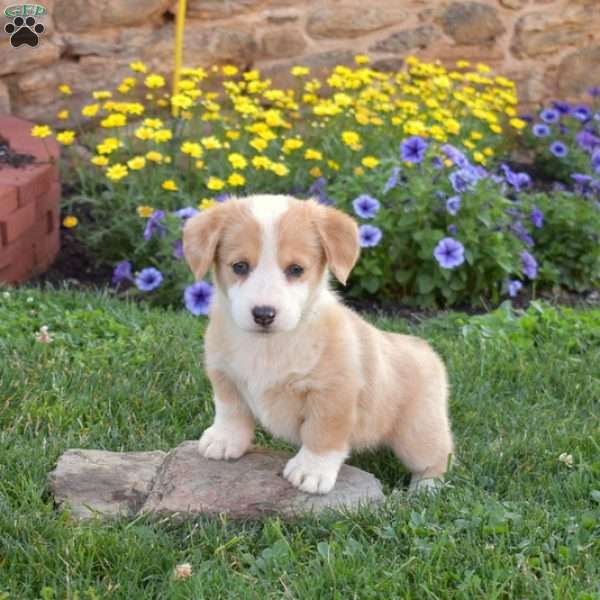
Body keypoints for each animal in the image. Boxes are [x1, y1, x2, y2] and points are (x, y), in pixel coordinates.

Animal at [184, 195, 454, 494]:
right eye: (239, 266)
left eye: (296, 270)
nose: (264, 314)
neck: (268, 346)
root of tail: (422, 347)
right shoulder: (225, 376)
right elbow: (230, 411)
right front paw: (223, 440)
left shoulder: (333, 394)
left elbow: (322, 433)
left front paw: (310, 471)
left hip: (418, 433)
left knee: (437, 458)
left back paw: (424, 490)